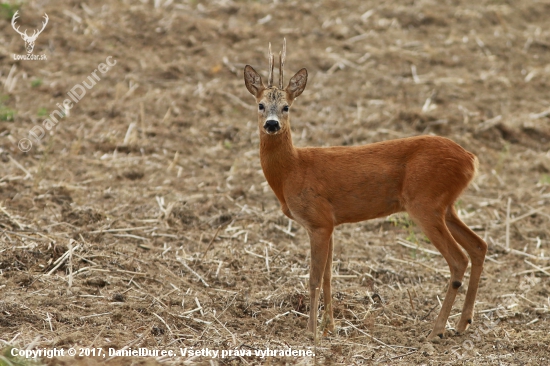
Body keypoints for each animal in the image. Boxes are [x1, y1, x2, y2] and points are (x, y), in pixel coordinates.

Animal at [244, 40, 490, 340]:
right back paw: (462, 323)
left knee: (458, 259)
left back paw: (436, 331)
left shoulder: (318, 221)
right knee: (478, 245)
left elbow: (314, 278)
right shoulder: (329, 223)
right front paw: (330, 326)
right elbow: (328, 276)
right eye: (260, 104)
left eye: (287, 107)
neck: (292, 169)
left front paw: (311, 333)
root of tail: (470, 159)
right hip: (446, 206)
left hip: (425, 204)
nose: (272, 124)